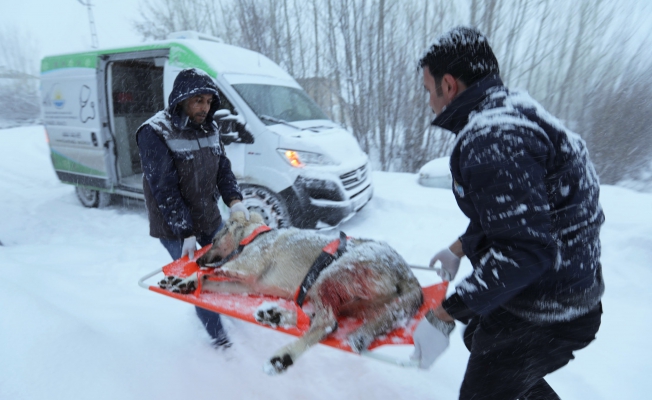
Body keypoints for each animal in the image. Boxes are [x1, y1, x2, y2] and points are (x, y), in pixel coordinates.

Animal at [162, 211, 422, 374]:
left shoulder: (243, 267)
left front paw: (185, 279)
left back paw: (283, 357)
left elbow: (208, 273)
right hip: (332, 293)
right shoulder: (246, 284)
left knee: (327, 323)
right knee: (319, 318)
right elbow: (207, 279)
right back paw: (275, 316)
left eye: (215, 240)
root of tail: (409, 275)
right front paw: (184, 282)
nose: (197, 260)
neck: (255, 236)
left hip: (328, 275)